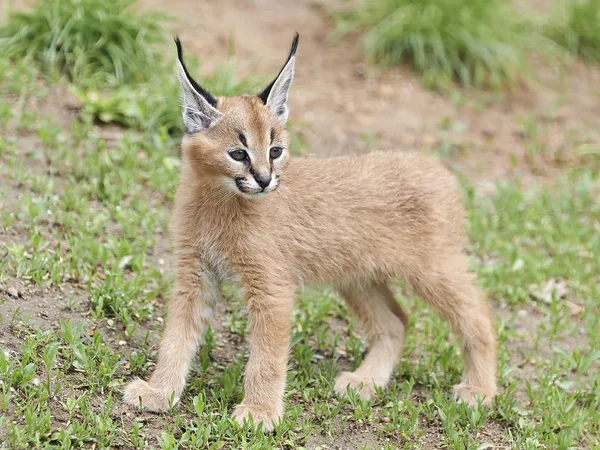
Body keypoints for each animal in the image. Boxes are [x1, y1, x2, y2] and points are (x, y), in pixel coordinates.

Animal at [123, 34, 496, 428]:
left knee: (479, 314)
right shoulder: (194, 274)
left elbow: (266, 356)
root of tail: (437, 167)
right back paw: (366, 382)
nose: (265, 179)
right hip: (356, 276)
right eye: (238, 154)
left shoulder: (271, 286)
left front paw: (259, 412)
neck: (218, 199)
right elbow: (175, 337)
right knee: (397, 322)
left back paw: (480, 391)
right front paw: (159, 391)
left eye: (275, 151)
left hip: (431, 268)